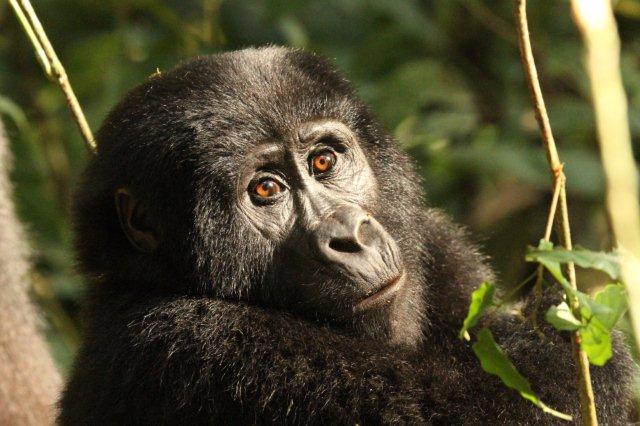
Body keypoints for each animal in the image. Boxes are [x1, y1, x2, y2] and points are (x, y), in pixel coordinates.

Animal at [59, 47, 634, 424]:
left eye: (323, 161)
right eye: (265, 190)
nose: (351, 237)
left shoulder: (437, 243)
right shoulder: (195, 341)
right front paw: (558, 334)